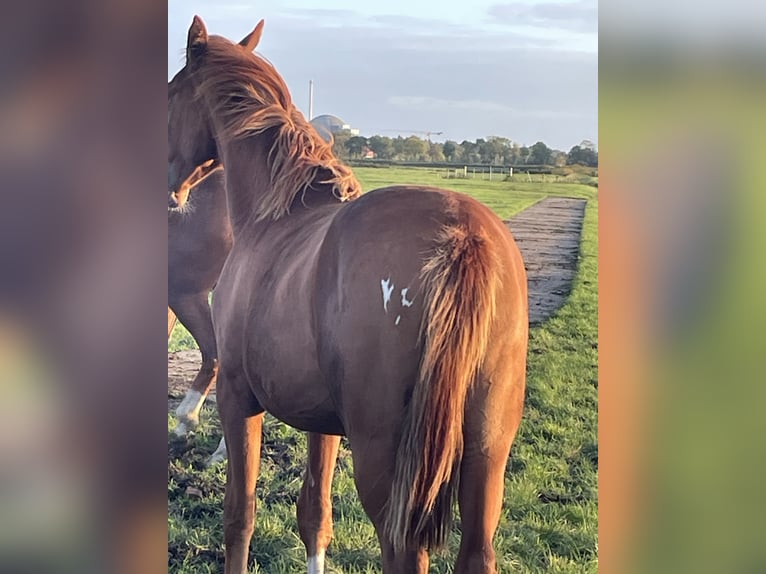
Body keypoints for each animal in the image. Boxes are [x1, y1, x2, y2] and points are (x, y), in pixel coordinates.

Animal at [167, 15, 528, 572]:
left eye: (169, 96)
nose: (171, 191)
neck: (276, 215)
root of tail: (463, 236)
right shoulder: (325, 422)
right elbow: (315, 515)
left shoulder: (237, 396)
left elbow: (239, 515)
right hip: (486, 455)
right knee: (477, 552)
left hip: (388, 467)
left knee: (404, 551)